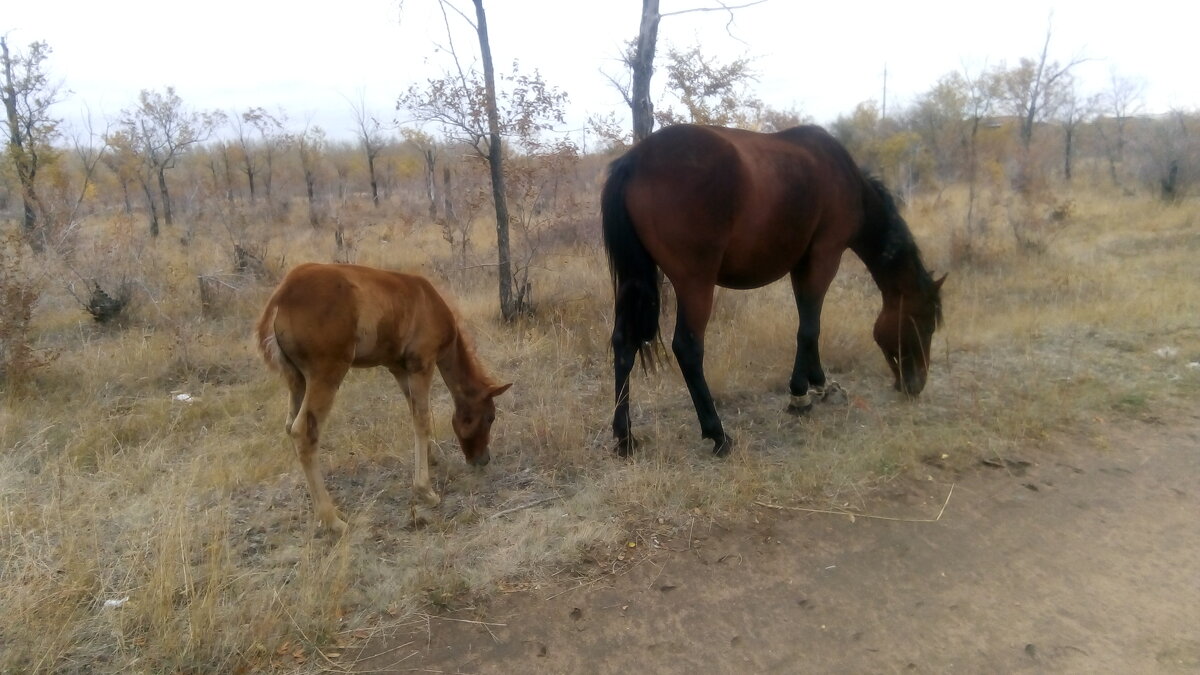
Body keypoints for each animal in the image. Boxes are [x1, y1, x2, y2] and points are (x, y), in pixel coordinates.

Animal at [255, 263, 508, 530]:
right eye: (490, 417)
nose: (483, 460)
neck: (432, 304)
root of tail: (280, 299)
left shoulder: (398, 368)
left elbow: (415, 413)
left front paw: (430, 459)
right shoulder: (422, 362)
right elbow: (422, 419)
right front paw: (425, 490)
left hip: (296, 378)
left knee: (289, 425)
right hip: (326, 373)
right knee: (304, 431)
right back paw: (332, 520)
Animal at [604, 123, 940, 454]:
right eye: (925, 324)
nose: (916, 385)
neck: (849, 183)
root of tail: (633, 161)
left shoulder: (801, 265)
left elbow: (808, 324)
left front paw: (819, 384)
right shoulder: (824, 258)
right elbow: (810, 327)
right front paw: (800, 396)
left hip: (635, 282)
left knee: (624, 343)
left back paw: (625, 438)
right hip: (695, 283)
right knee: (687, 348)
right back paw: (718, 435)